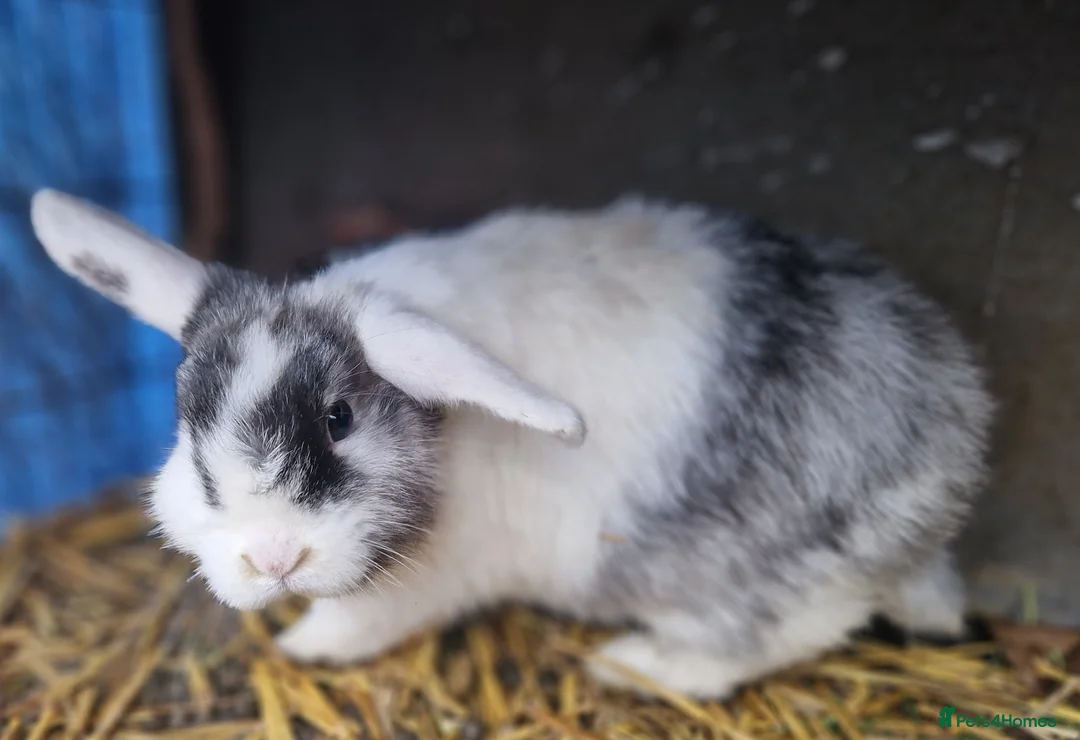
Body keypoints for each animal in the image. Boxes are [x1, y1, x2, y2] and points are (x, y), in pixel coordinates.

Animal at [29, 188, 993, 699]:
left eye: (339, 417)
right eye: (187, 419)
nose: (272, 559)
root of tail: (951, 445)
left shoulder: (424, 581)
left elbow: (359, 620)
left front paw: (305, 646)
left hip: (749, 571)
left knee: (794, 627)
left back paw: (635, 664)